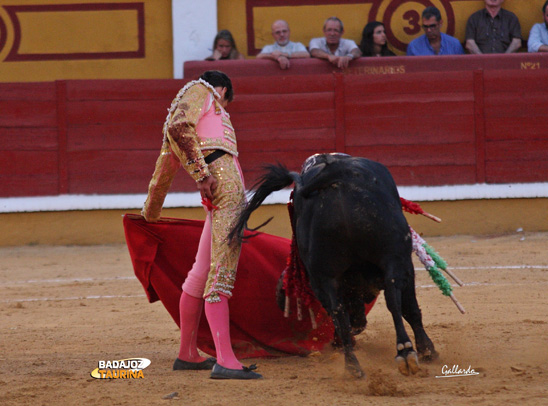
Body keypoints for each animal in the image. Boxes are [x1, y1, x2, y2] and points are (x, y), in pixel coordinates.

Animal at [229, 154, 438, 380]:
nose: (359, 324)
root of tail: (337, 176)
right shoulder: (404, 265)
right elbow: (410, 309)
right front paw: (427, 350)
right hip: (393, 257)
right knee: (393, 300)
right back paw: (404, 351)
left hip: (324, 277)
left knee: (339, 314)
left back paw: (353, 366)